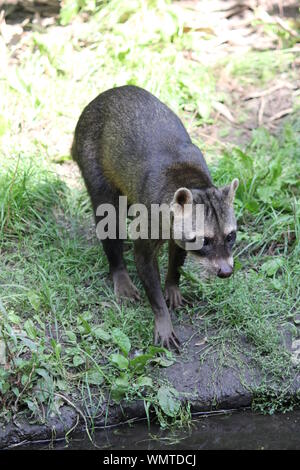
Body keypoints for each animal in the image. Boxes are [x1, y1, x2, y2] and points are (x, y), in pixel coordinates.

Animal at [71, 85, 239, 348]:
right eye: (204, 240)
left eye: (230, 236)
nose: (225, 272)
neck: (190, 180)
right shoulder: (151, 220)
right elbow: (144, 262)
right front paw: (162, 315)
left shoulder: (177, 229)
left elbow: (177, 255)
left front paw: (172, 284)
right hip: (92, 160)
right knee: (108, 219)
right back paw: (118, 268)